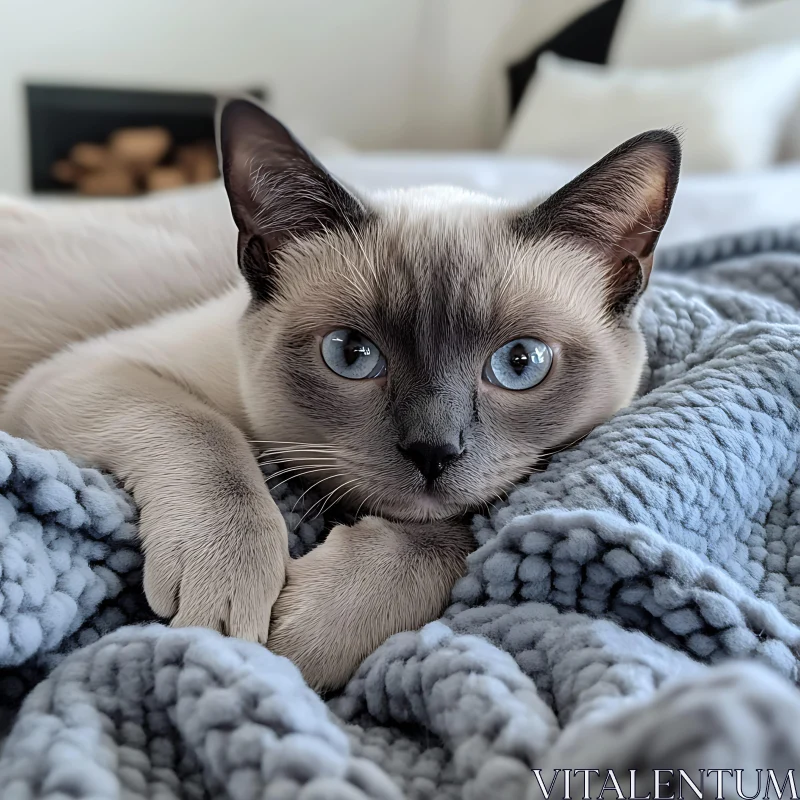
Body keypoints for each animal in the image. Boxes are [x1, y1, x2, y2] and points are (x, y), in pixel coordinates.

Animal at [0, 98, 680, 688]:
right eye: (351, 355)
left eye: (519, 364)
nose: (434, 452)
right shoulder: (88, 373)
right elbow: (212, 442)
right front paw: (227, 622)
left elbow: (456, 532)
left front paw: (298, 637)